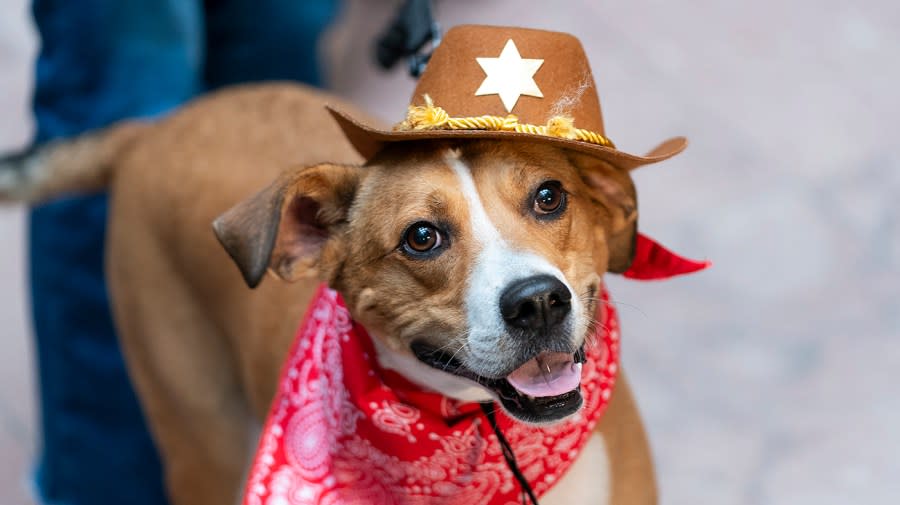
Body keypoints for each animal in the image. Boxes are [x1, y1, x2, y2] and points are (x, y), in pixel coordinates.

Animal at [0, 26, 704, 504]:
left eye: (550, 196)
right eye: (421, 237)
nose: (537, 302)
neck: (478, 438)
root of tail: (152, 128)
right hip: (201, 438)